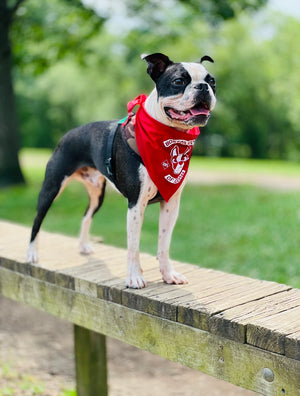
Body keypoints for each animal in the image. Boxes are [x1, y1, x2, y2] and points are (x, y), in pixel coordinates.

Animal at [24, 52, 214, 288]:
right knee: (37, 220)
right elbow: (133, 246)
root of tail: (69, 133)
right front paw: (134, 277)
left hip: (97, 194)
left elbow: (164, 244)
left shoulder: (171, 204)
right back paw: (31, 254)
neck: (168, 135)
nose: (203, 87)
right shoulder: (136, 203)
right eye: (179, 81)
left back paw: (83, 246)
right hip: (51, 187)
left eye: (212, 81)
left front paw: (168, 274)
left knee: (86, 216)